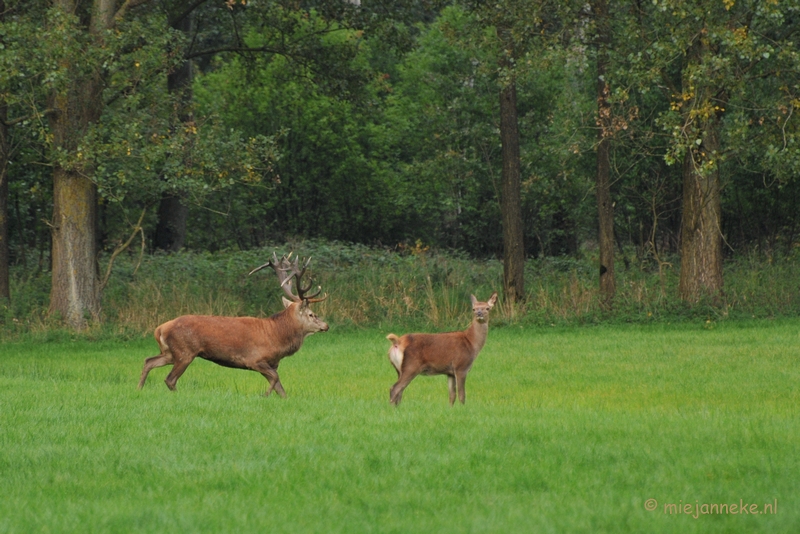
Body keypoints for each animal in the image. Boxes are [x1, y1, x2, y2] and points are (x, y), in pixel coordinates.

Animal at [138, 252, 328, 398]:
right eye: (312, 314)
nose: (326, 325)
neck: (277, 336)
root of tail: (160, 328)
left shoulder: (272, 363)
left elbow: (281, 388)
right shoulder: (254, 359)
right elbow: (275, 379)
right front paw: (264, 395)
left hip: (171, 352)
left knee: (148, 361)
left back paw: (138, 389)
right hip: (185, 351)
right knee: (169, 379)